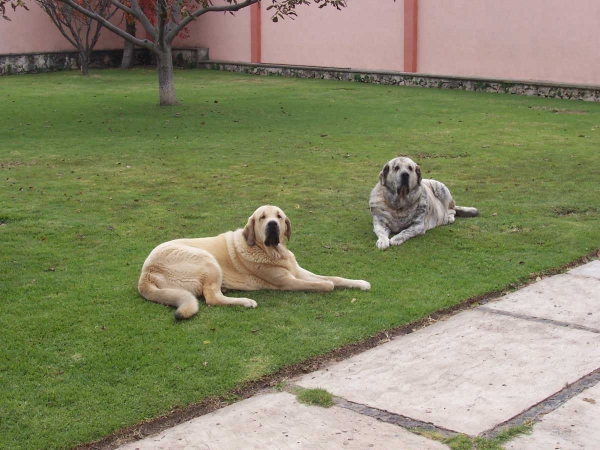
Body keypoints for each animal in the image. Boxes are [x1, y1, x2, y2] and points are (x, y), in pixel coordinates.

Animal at [138, 206, 370, 318]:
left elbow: (334, 277)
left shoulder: (298, 271)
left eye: (279, 216)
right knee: (212, 298)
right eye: (262, 217)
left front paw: (360, 283)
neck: (273, 251)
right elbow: (325, 284)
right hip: (207, 260)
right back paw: (245, 301)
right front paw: (326, 285)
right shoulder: (287, 281)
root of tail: (145, 274)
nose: (272, 225)